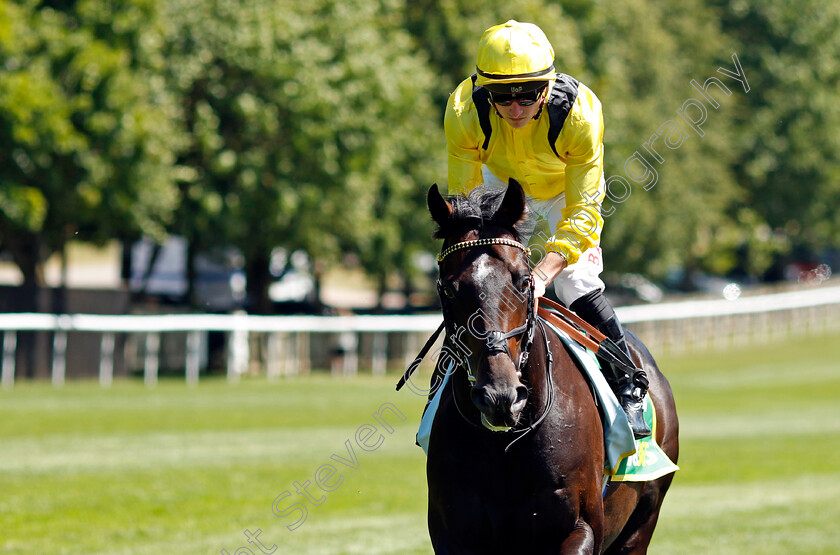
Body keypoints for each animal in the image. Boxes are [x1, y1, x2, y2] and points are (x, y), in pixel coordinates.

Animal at [420, 182, 676, 555]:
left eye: (524, 282)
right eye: (449, 289)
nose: (500, 396)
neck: (505, 446)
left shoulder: (581, 527)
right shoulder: (452, 533)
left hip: (642, 519)